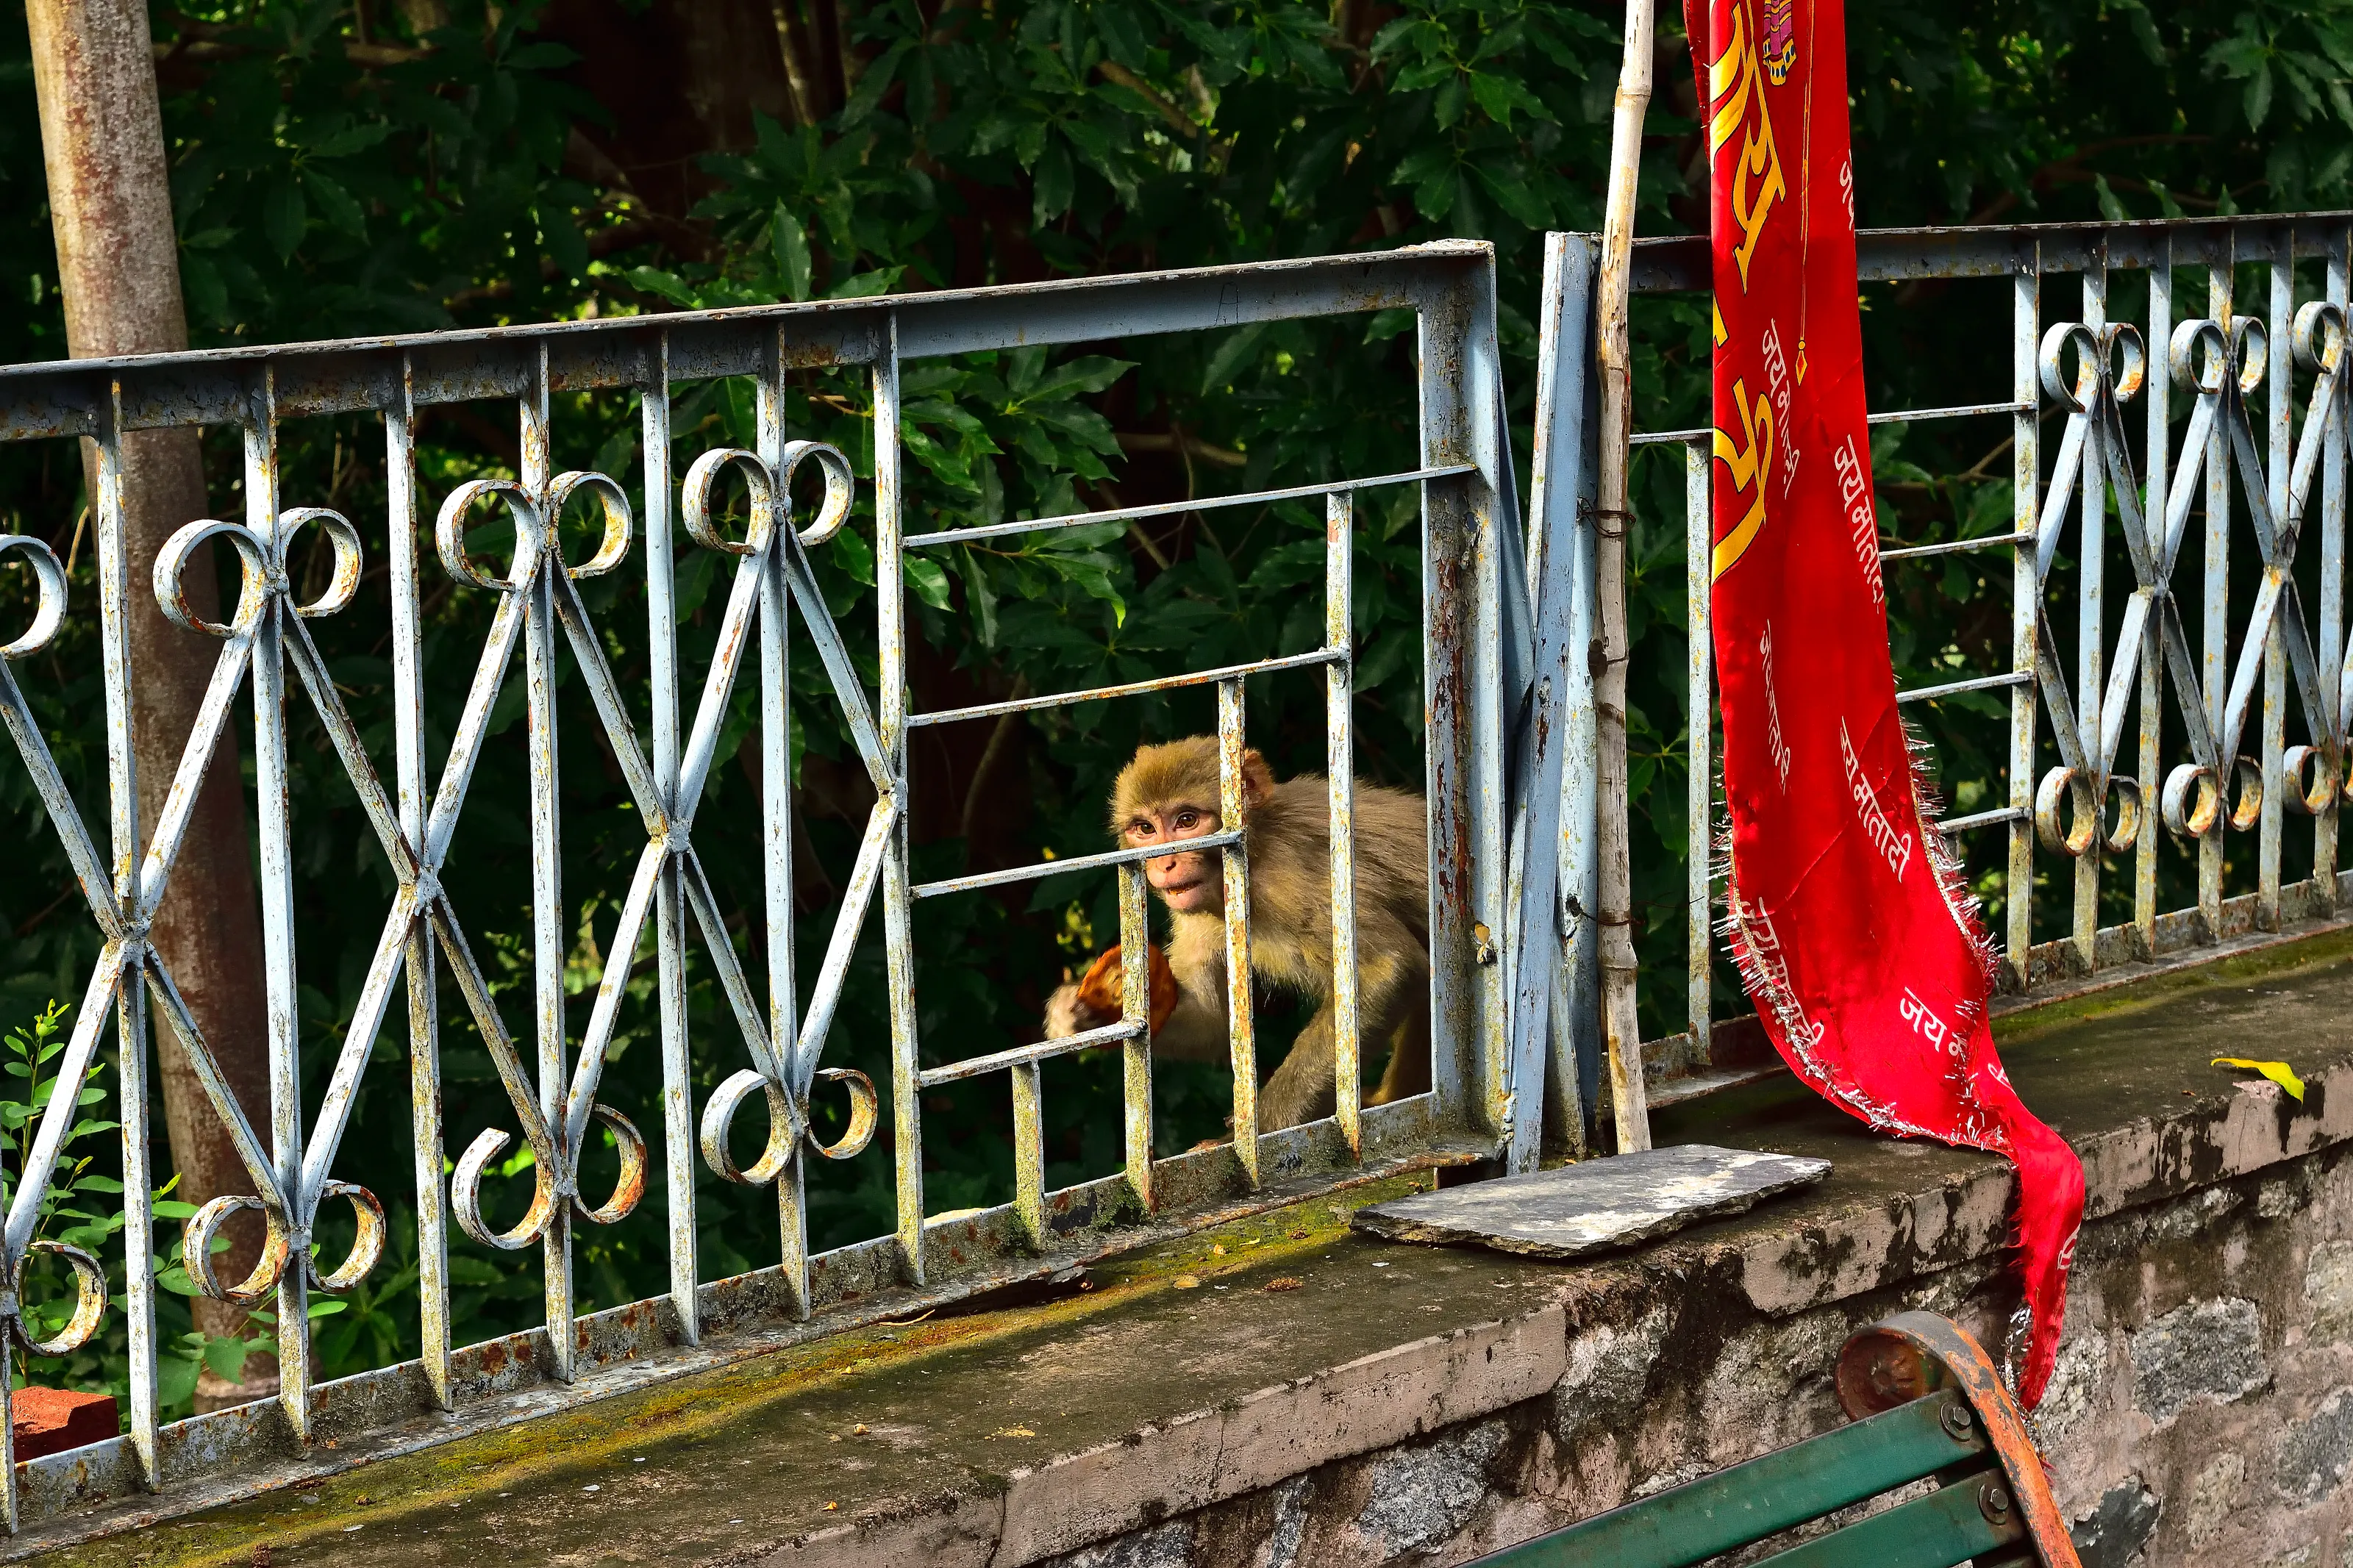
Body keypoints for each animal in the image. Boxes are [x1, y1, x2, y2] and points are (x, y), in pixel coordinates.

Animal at [1041, 736, 1430, 1130]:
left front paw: (1261, 1128)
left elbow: (1387, 971)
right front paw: (1085, 1016)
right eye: (1146, 829)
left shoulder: (1294, 876)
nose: (1165, 863)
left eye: (1187, 820)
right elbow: (1210, 1022)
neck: (1251, 854)